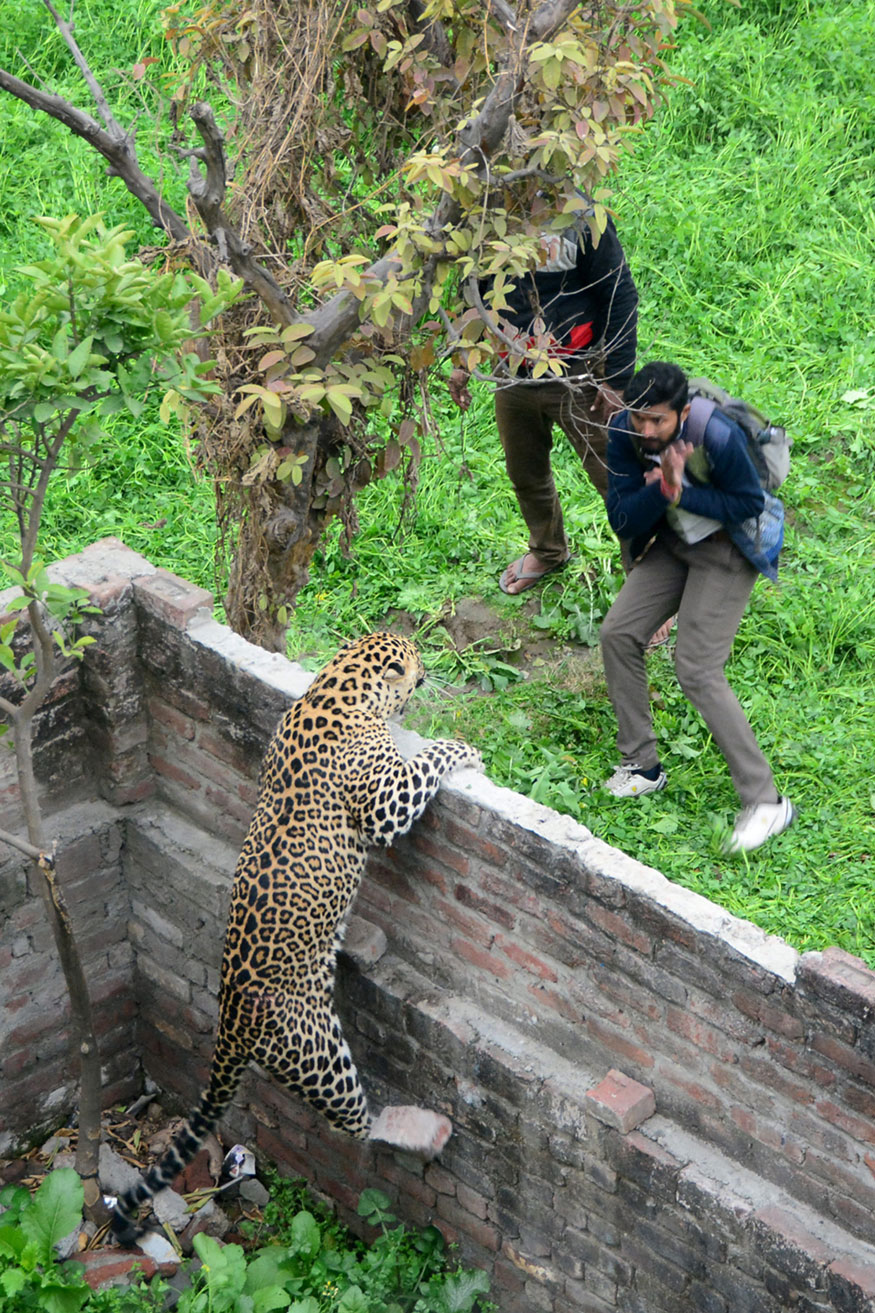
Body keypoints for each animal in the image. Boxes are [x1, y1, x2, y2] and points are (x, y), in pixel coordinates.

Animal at [109, 630, 480, 1244]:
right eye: (413, 663)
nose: (427, 673)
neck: (338, 682)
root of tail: (229, 1021)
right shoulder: (385, 800)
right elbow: (425, 764)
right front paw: (462, 748)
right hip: (317, 1054)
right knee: (358, 1125)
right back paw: (418, 1129)